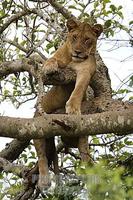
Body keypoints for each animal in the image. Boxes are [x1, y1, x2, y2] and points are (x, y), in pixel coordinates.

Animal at [33, 18, 103, 190]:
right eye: (75, 37)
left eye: (87, 40)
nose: (77, 51)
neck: (73, 59)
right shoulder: (59, 58)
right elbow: (52, 59)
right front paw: (49, 66)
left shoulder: (86, 71)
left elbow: (78, 90)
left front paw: (73, 109)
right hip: (37, 126)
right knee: (42, 155)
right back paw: (44, 181)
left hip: (74, 137)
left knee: (82, 149)